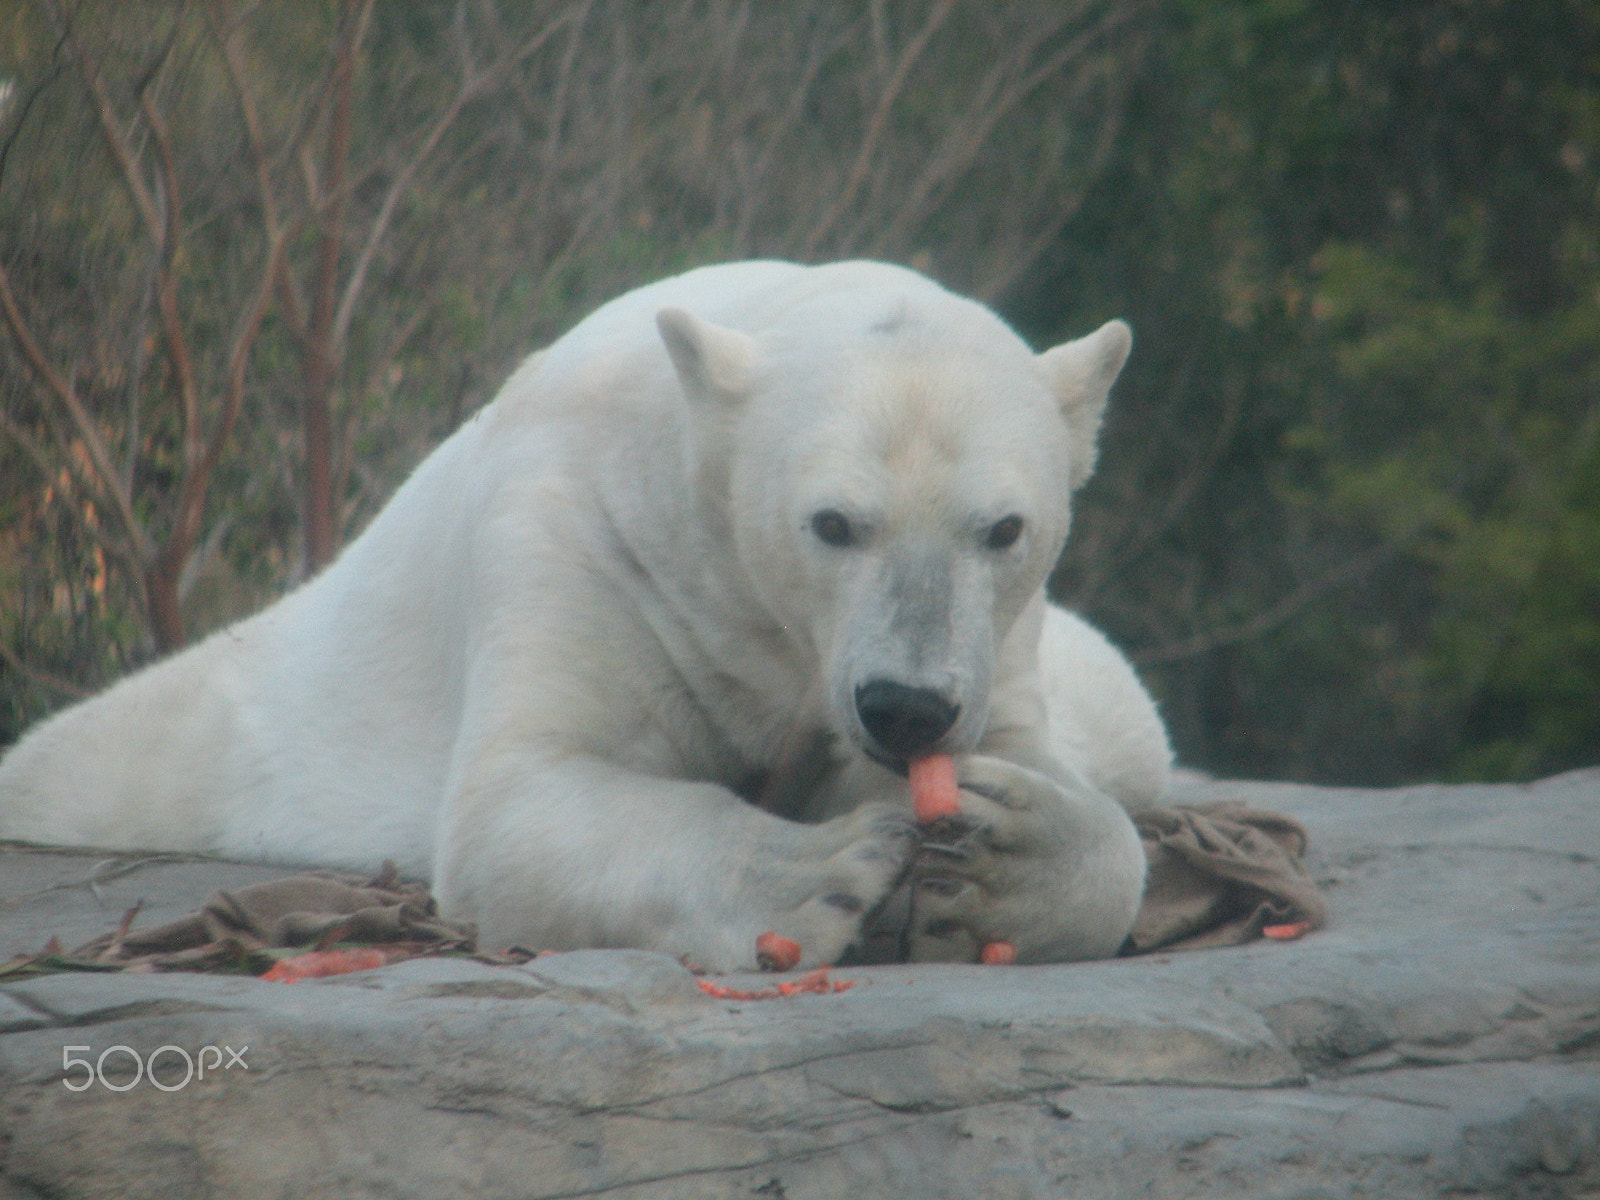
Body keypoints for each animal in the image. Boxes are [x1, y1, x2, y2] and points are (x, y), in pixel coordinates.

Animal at [3, 260, 1177, 966]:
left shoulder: (1002, 640)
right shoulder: (585, 541)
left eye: (1003, 528)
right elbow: (522, 797)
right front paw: (823, 871)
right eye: (834, 522)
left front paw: (1006, 851)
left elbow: (1054, 779)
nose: (905, 708)